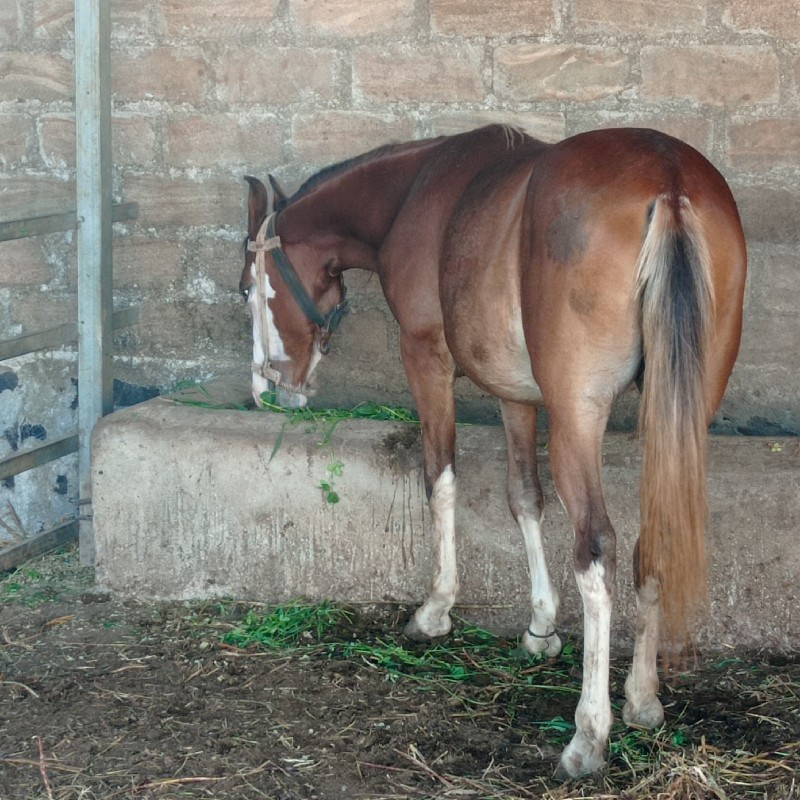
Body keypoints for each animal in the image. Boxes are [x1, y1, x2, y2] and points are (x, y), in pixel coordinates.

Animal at [238, 123, 744, 776]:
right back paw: (641, 698)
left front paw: (436, 610)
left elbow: (441, 482)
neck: (413, 191)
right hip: (675, 415)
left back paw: (589, 732)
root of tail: (670, 182)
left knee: (597, 548)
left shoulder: (426, 358)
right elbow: (524, 498)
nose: (265, 390)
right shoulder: (516, 394)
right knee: (653, 535)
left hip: (577, 416)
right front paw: (540, 626)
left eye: (247, 289)